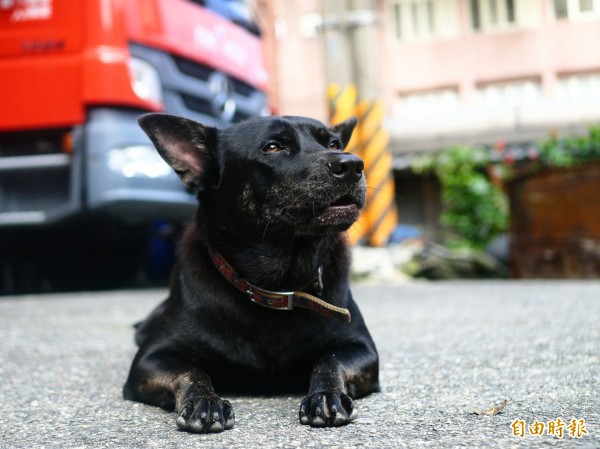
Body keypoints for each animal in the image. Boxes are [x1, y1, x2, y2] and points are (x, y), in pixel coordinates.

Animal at [123, 112, 380, 430]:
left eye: (333, 144)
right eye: (273, 147)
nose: (353, 164)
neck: (276, 285)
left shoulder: (362, 349)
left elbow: (329, 361)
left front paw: (326, 395)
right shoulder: (150, 359)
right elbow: (191, 372)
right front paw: (204, 400)